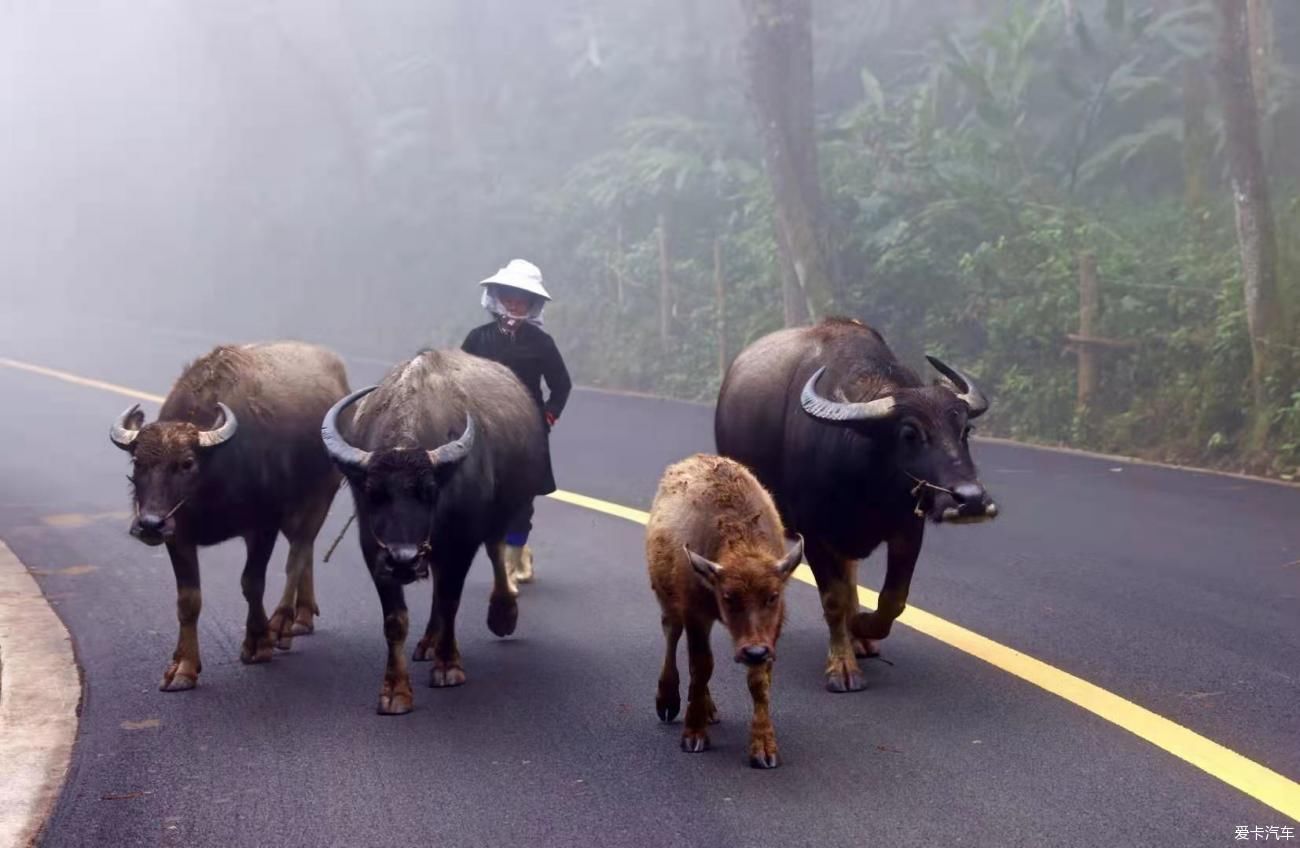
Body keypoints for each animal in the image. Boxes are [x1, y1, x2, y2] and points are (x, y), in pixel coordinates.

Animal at [109, 340, 351, 691]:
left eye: (186, 463)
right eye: (138, 462)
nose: (150, 524)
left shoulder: (263, 527)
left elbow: (252, 583)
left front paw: (258, 643)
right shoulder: (178, 535)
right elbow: (188, 600)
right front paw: (183, 667)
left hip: (319, 495)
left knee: (298, 553)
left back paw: (282, 624)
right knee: (304, 550)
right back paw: (303, 616)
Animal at [325, 348, 553, 712]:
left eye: (430, 491)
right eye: (373, 493)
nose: (403, 560)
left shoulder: (462, 540)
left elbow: (450, 601)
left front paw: (448, 667)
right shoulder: (374, 548)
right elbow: (396, 619)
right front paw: (395, 690)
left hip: (502, 512)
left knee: (495, 550)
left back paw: (502, 614)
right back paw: (428, 642)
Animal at [647, 457, 806, 769]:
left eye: (773, 596)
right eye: (728, 597)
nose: (753, 652)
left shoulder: (771, 630)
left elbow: (759, 681)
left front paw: (764, 748)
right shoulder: (696, 614)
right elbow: (701, 666)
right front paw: (694, 735)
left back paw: (709, 710)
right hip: (668, 601)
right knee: (672, 636)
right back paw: (668, 701)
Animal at [717, 317, 998, 697]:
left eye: (964, 429)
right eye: (910, 433)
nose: (971, 499)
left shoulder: (908, 528)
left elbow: (893, 597)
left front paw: (861, 626)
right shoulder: (814, 533)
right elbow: (833, 599)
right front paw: (842, 666)